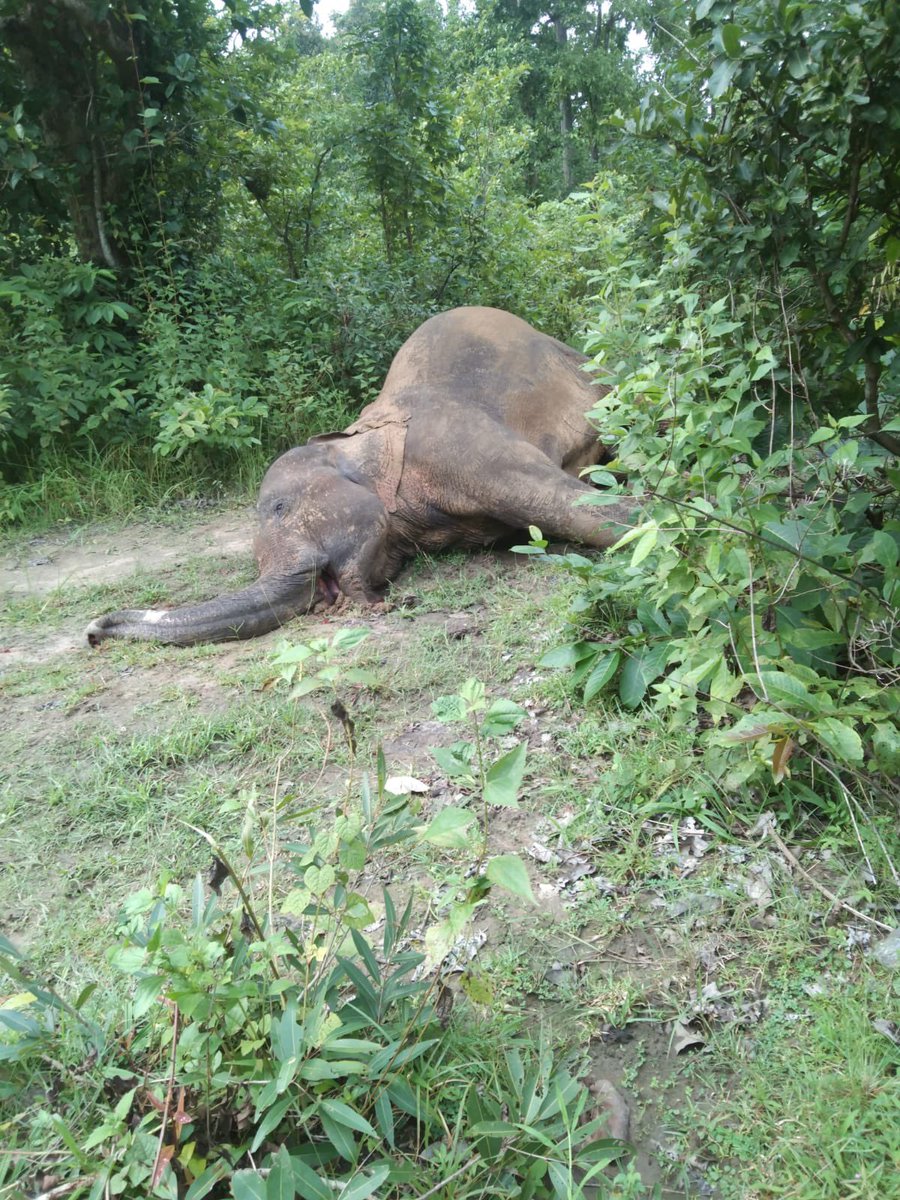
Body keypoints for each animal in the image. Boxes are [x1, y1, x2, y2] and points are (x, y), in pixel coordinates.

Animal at [86, 306, 635, 647]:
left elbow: (568, 507)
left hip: (591, 368)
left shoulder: (455, 441)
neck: (356, 437)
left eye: (279, 508)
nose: (93, 632)